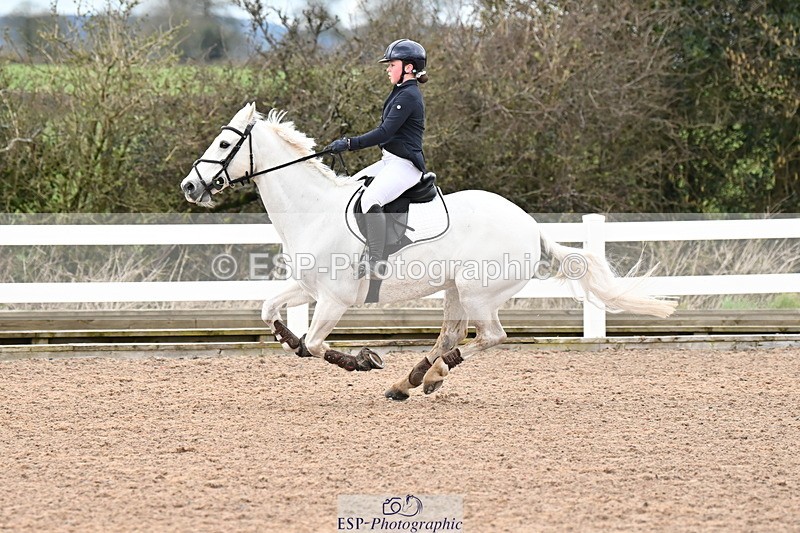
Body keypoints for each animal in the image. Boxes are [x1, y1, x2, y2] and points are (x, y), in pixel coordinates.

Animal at [181, 102, 676, 400]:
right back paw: (410, 381)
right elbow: (273, 316)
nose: (189, 187)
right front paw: (303, 343)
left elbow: (316, 344)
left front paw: (363, 361)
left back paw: (431, 376)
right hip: (456, 290)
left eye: (224, 144)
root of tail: (532, 228)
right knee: (451, 335)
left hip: (478, 294)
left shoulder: (334, 301)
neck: (314, 211)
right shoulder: (306, 289)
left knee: (490, 337)